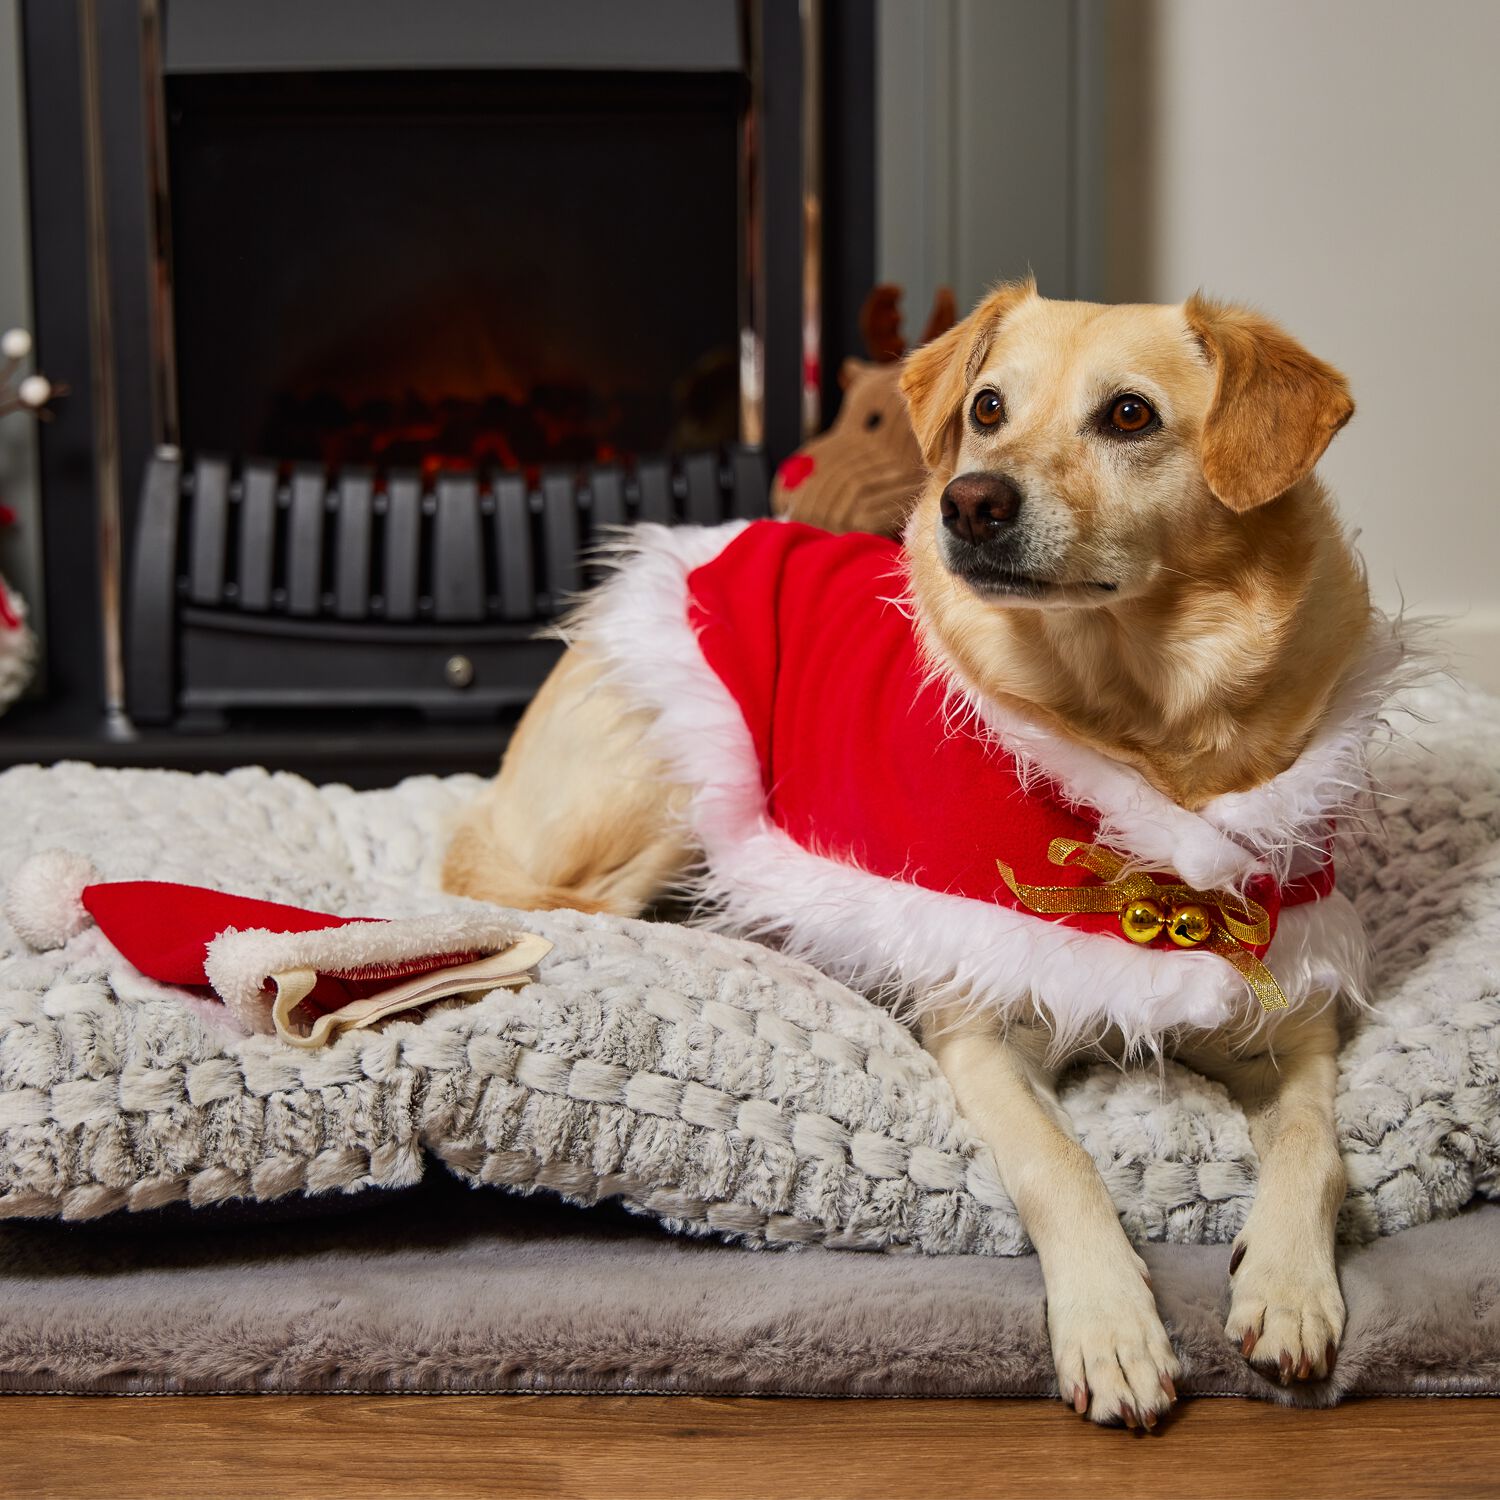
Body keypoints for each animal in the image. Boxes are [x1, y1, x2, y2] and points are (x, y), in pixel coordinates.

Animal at [444, 283, 1392, 1428]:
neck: (1143, 733)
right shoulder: (984, 1026)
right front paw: (1112, 1323)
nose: (970, 503)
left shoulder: (1294, 1015)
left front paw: (1290, 1284)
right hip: (663, 791)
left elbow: (1315, 1149)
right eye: (987, 409)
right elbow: (1059, 1164)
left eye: (1129, 416)